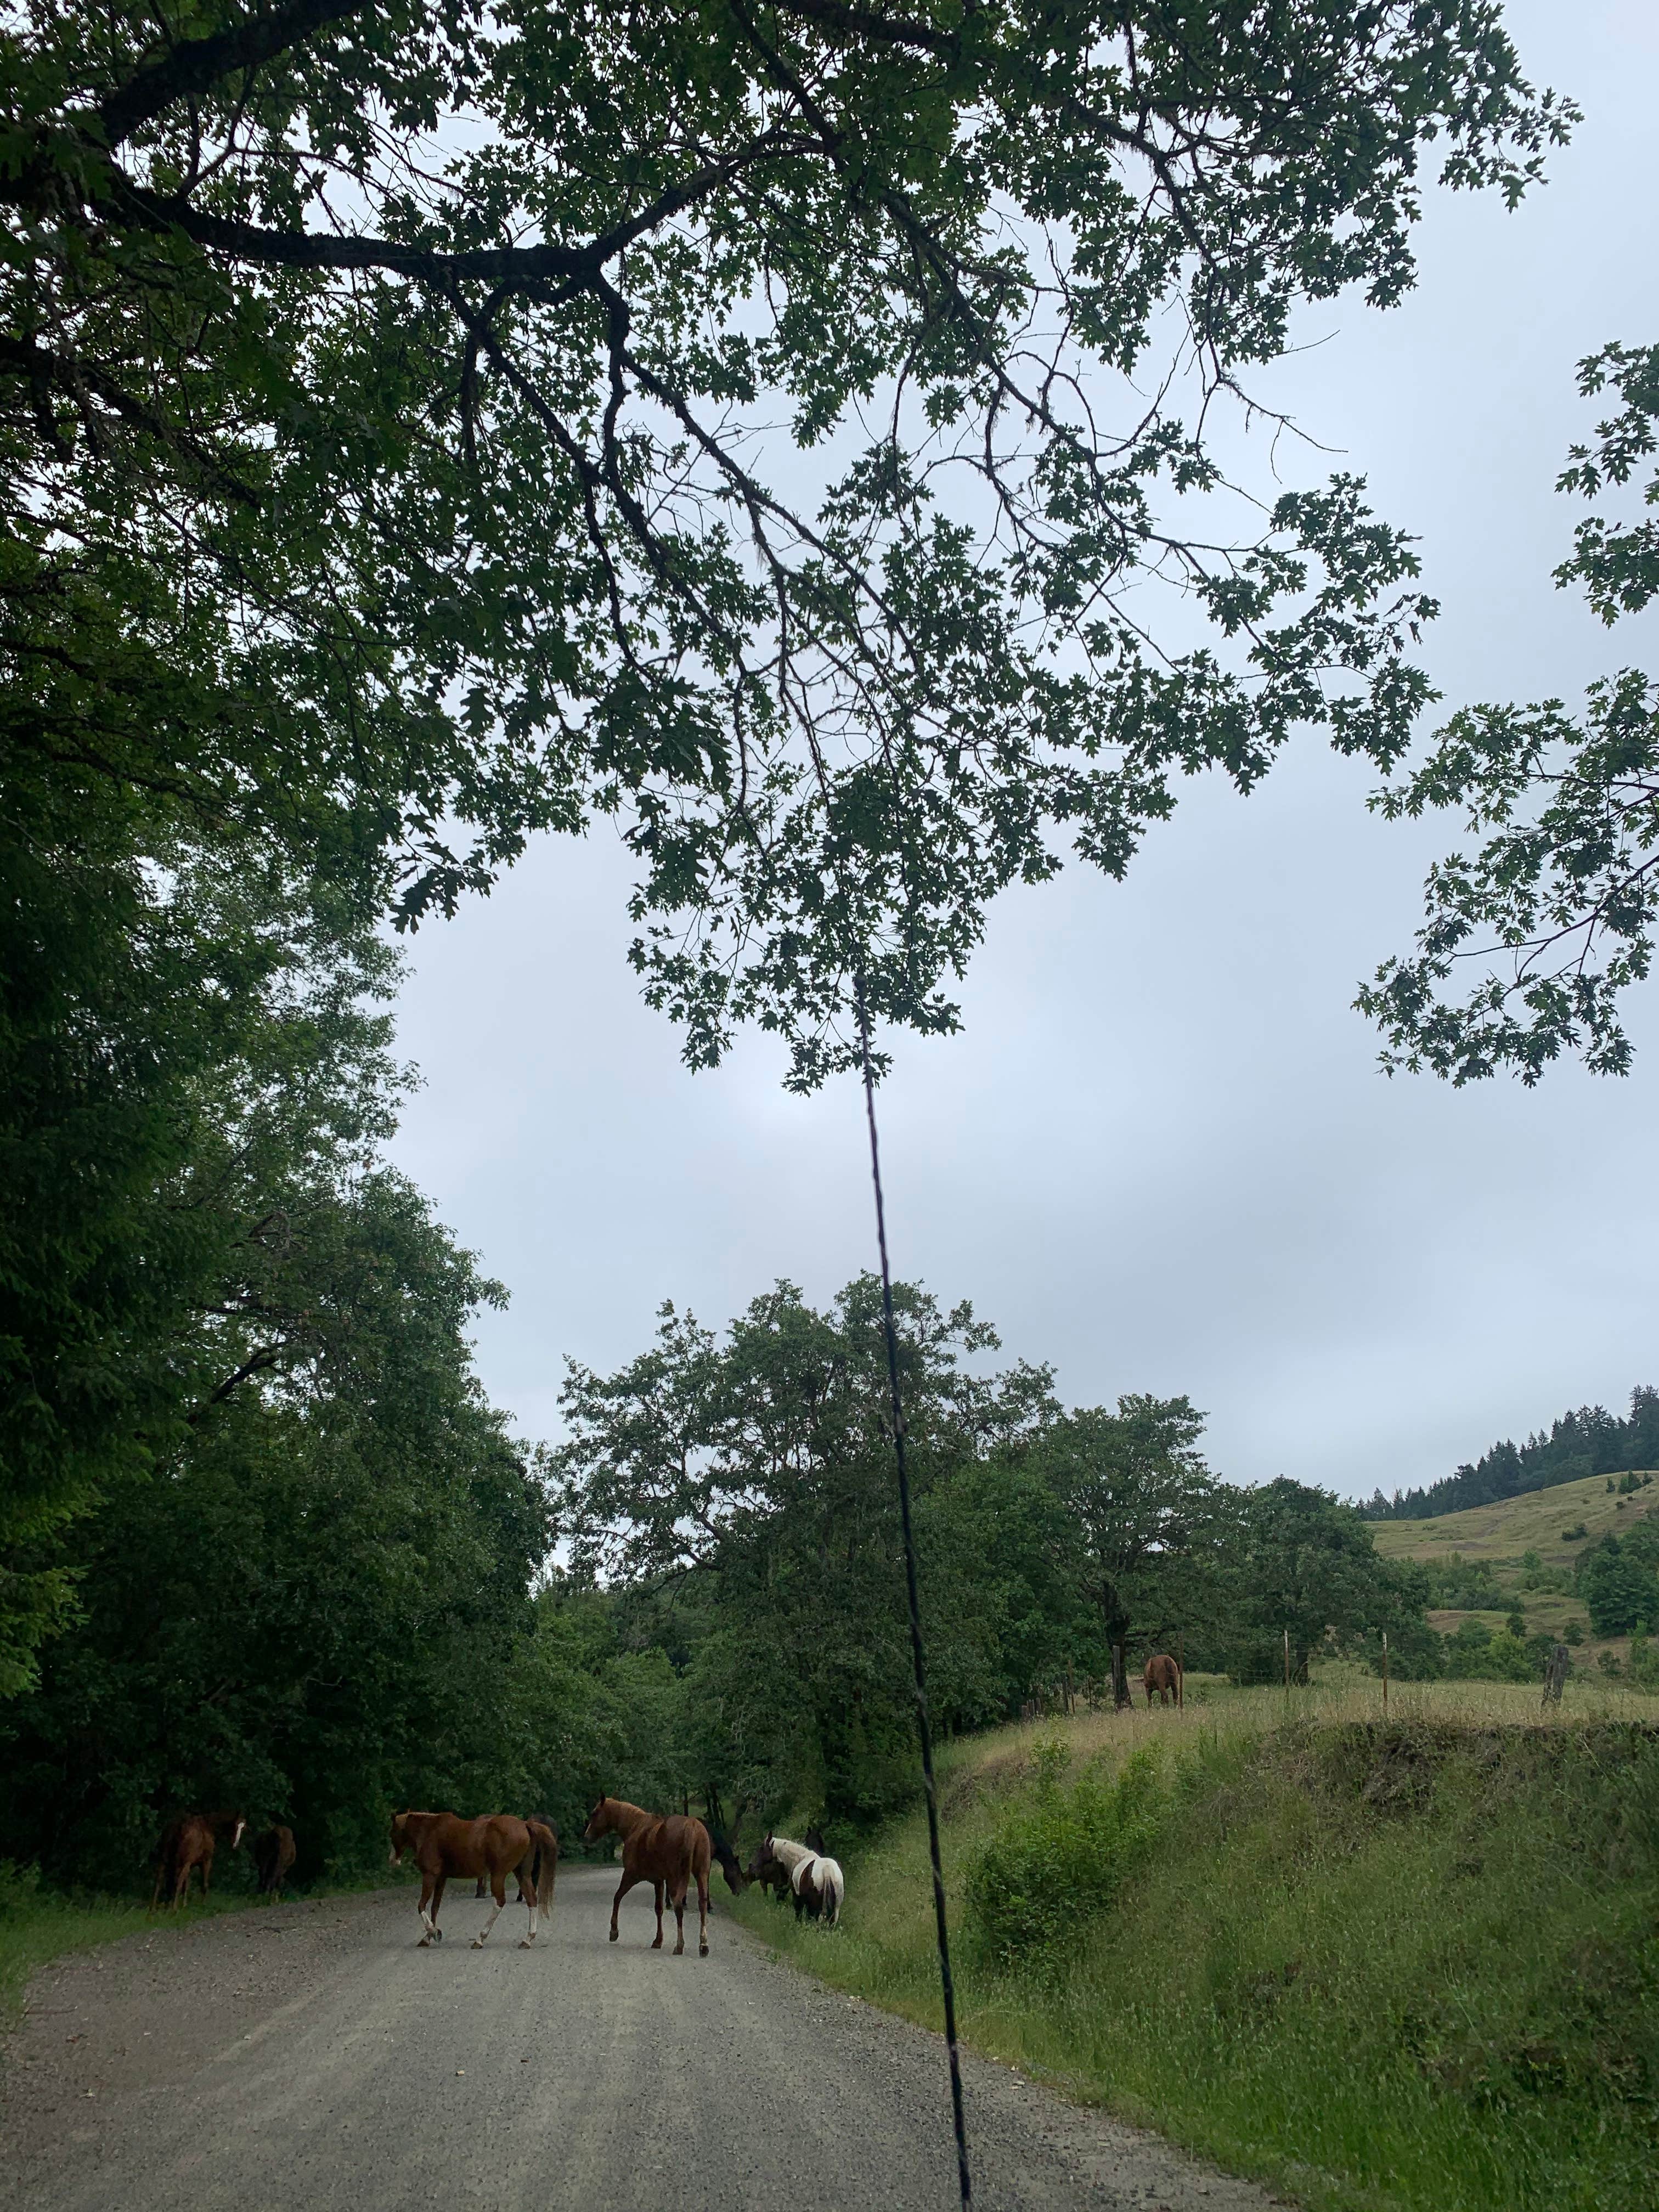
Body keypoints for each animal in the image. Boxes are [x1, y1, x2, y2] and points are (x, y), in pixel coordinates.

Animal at [150, 1805, 245, 1911]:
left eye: (243, 1828)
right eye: (235, 1825)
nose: (236, 1844)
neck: (210, 1827)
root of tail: (178, 1827)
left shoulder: (189, 1864)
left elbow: (186, 1884)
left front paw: (184, 1905)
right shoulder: (206, 1861)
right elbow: (204, 1885)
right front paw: (202, 1905)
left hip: (164, 1859)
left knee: (160, 1880)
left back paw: (154, 1908)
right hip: (183, 1863)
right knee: (178, 1882)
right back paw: (174, 1909)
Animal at [389, 1805, 560, 1946]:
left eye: (392, 1832)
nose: (393, 1860)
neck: (429, 1831)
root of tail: (525, 1824)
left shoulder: (430, 1875)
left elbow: (422, 1906)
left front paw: (432, 1932)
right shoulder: (441, 1878)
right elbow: (434, 1907)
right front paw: (428, 1937)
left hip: (499, 1875)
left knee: (500, 1902)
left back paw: (480, 1939)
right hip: (522, 1873)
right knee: (531, 1899)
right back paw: (527, 1939)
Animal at [588, 1787, 712, 1964]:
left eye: (595, 1813)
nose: (587, 1836)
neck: (634, 1827)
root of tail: (693, 1828)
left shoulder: (631, 1875)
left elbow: (617, 1898)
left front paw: (614, 1932)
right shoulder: (659, 1881)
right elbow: (658, 1909)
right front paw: (658, 1940)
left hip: (677, 1878)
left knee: (679, 1906)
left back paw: (679, 1945)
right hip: (701, 1873)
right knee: (702, 1904)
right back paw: (703, 1945)